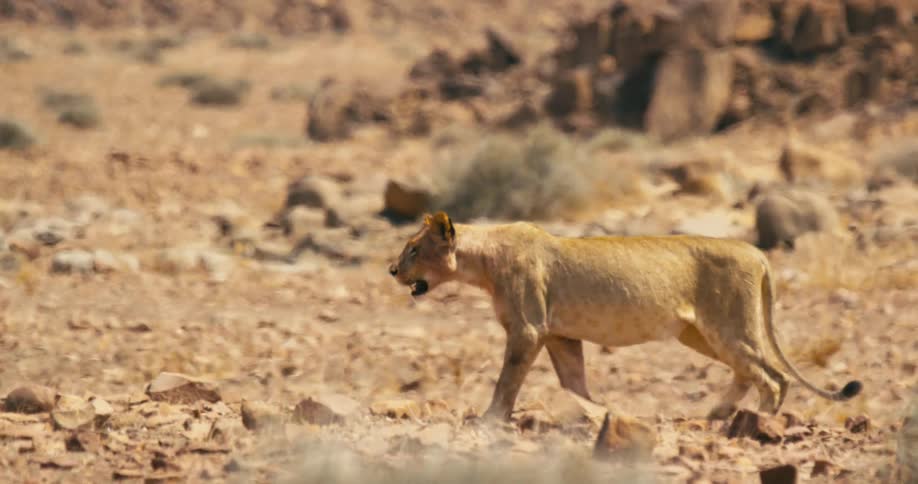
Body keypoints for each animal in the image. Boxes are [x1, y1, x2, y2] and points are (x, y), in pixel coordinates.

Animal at [388, 211, 862, 421]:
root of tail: (757, 252)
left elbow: (507, 381)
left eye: (413, 249)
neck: (483, 262)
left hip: (728, 326)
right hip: (699, 334)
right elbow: (573, 382)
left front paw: (490, 420)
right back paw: (714, 414)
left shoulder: (527, 330)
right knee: (749, 372)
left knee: (773, 378)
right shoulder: (558, 334)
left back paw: (757, 422)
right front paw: (602, 413)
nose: (392, 270)